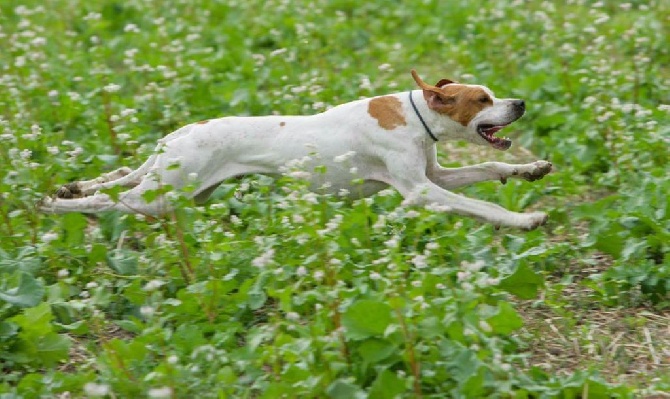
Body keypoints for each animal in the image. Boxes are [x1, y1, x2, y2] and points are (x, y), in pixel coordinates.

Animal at [43, 70, 556, 230]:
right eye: (483, 99)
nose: (520, 103)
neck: (413, 116)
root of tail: (178, 134)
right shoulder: (421, 191)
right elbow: (482, 205)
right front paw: (525, 218)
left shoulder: (434, 177)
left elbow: (490, 165)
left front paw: (531, 169)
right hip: (160, 196)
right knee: (106, 200)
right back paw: (53, 203)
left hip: (176, 192)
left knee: (110, 187)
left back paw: (68, 191)